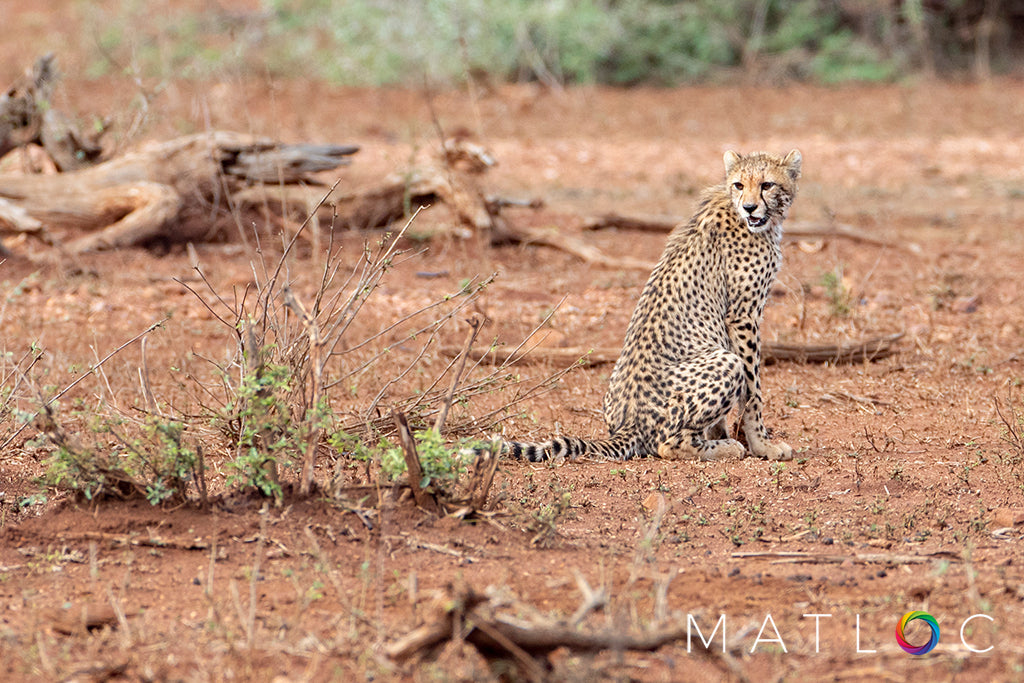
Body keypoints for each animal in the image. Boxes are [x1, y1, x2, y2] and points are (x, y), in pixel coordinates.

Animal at [503, 149, 798, 464]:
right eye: (739, 185)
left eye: (767, 184)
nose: (750, 208)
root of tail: (628, 424)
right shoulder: (743, 316)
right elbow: (754, 390)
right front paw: (761, 445)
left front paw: (723, 435)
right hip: (725, 363)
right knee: (667, 445)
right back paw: (727, 449)